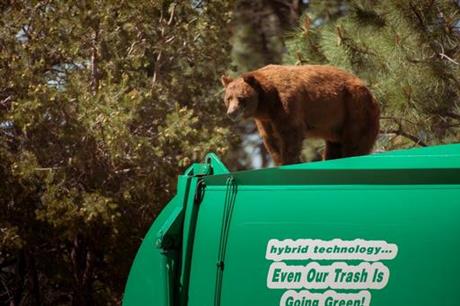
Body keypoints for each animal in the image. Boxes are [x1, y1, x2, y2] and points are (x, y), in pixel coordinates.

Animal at [221, 64, 380, 165]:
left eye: (241, 98)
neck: (266, 102)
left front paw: (289, 160)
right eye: (228, 98)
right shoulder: (265, 120)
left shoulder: (286, 105)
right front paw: (280, 161)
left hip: (355, 107)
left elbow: (291, 133)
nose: (231, 113)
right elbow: (272, 140)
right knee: (335, 147)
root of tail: (371, 94)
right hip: (336, 124)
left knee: (355, 141)